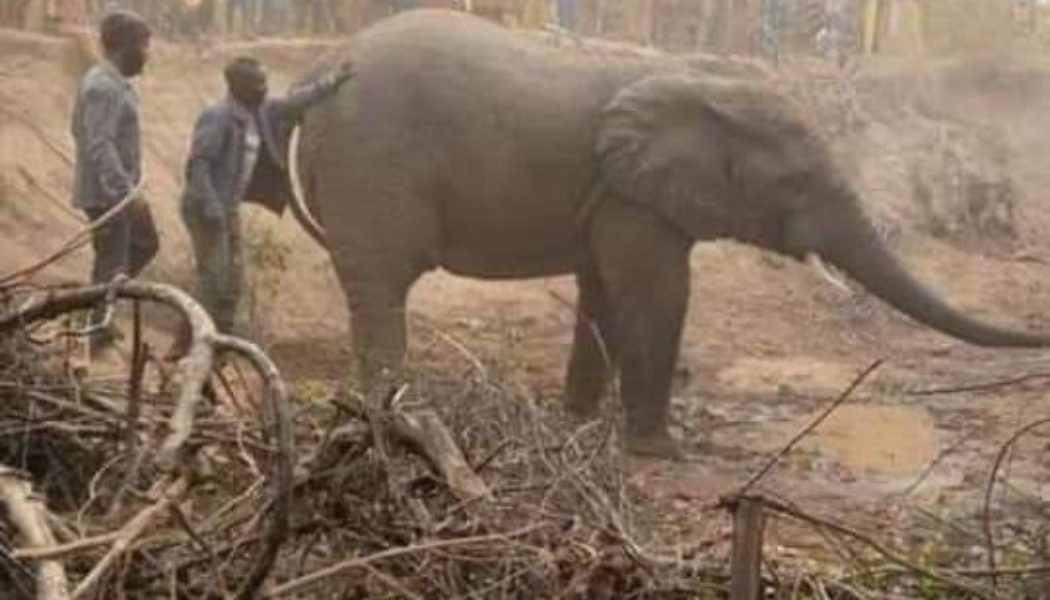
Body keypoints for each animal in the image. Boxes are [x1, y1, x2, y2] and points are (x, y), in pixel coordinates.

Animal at [287, 9, 1050, 458]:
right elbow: (658, 296)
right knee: (380, 287)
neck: (705, 82)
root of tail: (314, 76)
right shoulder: (636, 199)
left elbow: (602, 293)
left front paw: (577, 423)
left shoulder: (617, 196)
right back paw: (393, 419)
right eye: (797, 182)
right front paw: (660, 452)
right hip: (370, 163)